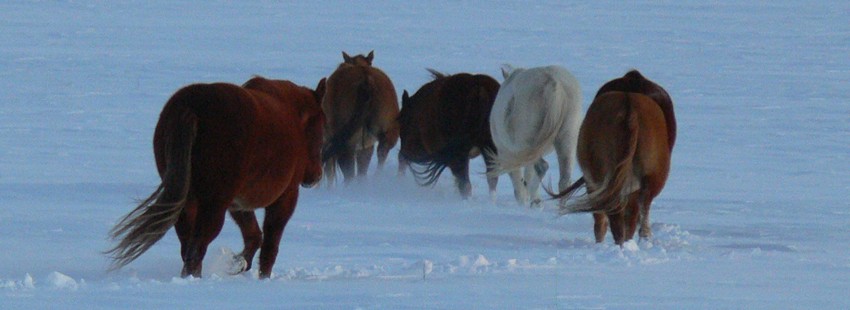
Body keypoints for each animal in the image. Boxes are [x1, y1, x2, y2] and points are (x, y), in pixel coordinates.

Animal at [107, 75, 326, 278]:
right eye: (322, 127)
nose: (315, 177)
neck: (294, 116)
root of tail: (191, 106)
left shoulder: (237, 203)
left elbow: (254, 235)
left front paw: (239, 264)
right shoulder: (285, 197)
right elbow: (269, 246)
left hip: (190, 203)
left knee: (187, 246)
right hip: (213, 204)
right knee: (196, 249)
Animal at [320, 50, 400, 184]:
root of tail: (366, 82)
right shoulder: (366, 145)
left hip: (346, 143)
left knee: (348, 173)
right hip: (388, 133)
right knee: (381, 156)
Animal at [486, 64, 580, 207]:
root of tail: (554, 84)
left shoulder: (508, 152)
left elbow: (517, 178)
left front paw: (523, 200)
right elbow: (528, 173)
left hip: (528, 140)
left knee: (542, 167)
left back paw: (535, 202)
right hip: (568, 133)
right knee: (565, 178)